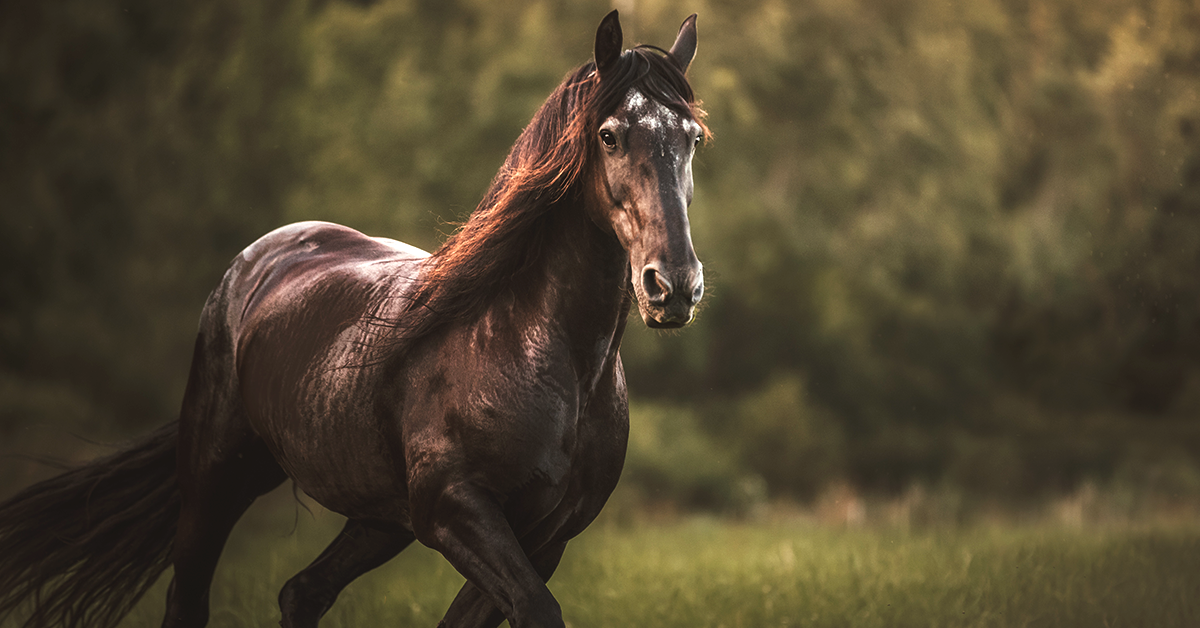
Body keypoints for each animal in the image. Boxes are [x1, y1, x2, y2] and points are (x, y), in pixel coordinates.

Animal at [0, 9, 705, 628]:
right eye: (609, 134)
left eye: (692, 138)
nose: (674, 286)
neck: (538, 350)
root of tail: (258, 260)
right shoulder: (457, 510)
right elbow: (536, 609)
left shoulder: (545, 537)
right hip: (215, 475)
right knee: (191, 598)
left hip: (377, 516)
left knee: (301, 592)